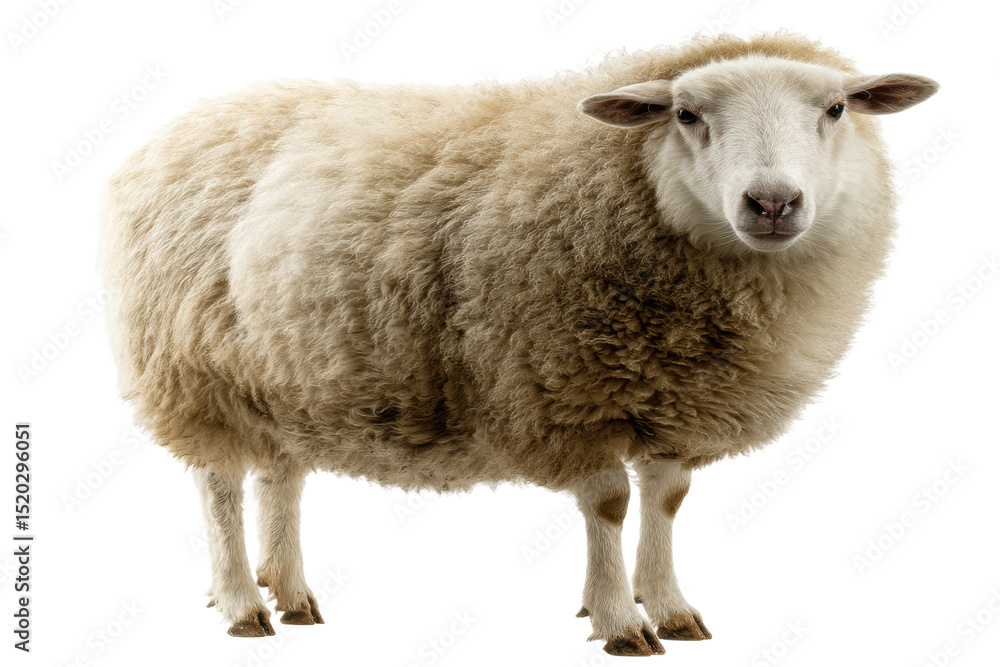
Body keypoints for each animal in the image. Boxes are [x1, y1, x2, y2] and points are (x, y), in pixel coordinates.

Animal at [100, 32, 938, 656]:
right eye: (685, 114)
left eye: (835, 108)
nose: (772, 202)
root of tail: (190, 121)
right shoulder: (566, 388)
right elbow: (608, 504)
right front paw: (619, 620)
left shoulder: (676, 395)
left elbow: (665, 499)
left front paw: (669, 605)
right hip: (192, 368)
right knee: (219, 485)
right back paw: (244, 601)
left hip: (283, 371)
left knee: (281, 475)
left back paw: (292, 589)